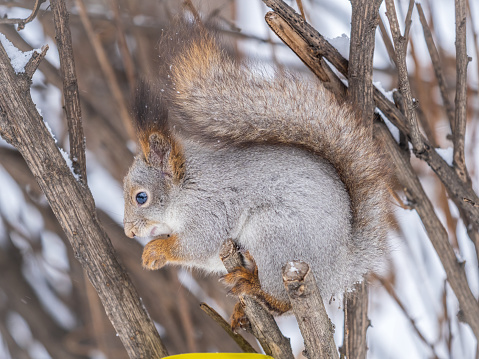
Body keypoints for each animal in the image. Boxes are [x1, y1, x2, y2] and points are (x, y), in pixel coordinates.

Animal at [124, 20, 394, 330]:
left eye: (141, 197)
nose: (129, 232)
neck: (186, 187)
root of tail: (340, 269)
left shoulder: (209, 207)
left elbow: (198, 243)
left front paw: (156, 251)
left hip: (275, 236)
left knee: (282, 299)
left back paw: (252, 286)